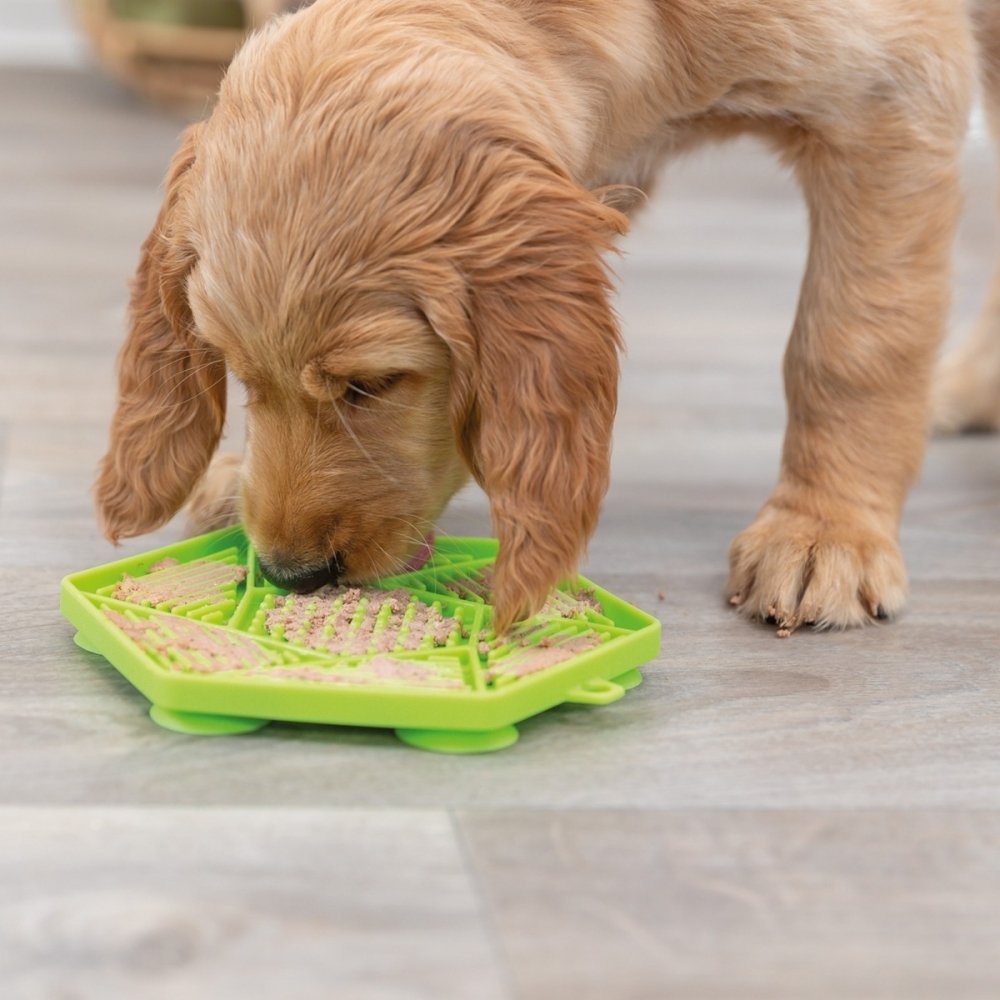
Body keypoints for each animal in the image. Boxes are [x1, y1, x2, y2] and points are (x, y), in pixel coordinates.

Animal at [94, 0, 984, 636]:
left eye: (372, 384)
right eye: (238, 373)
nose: (291, 575)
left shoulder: (895, 84)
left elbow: (851, 339)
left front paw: (826, 531)